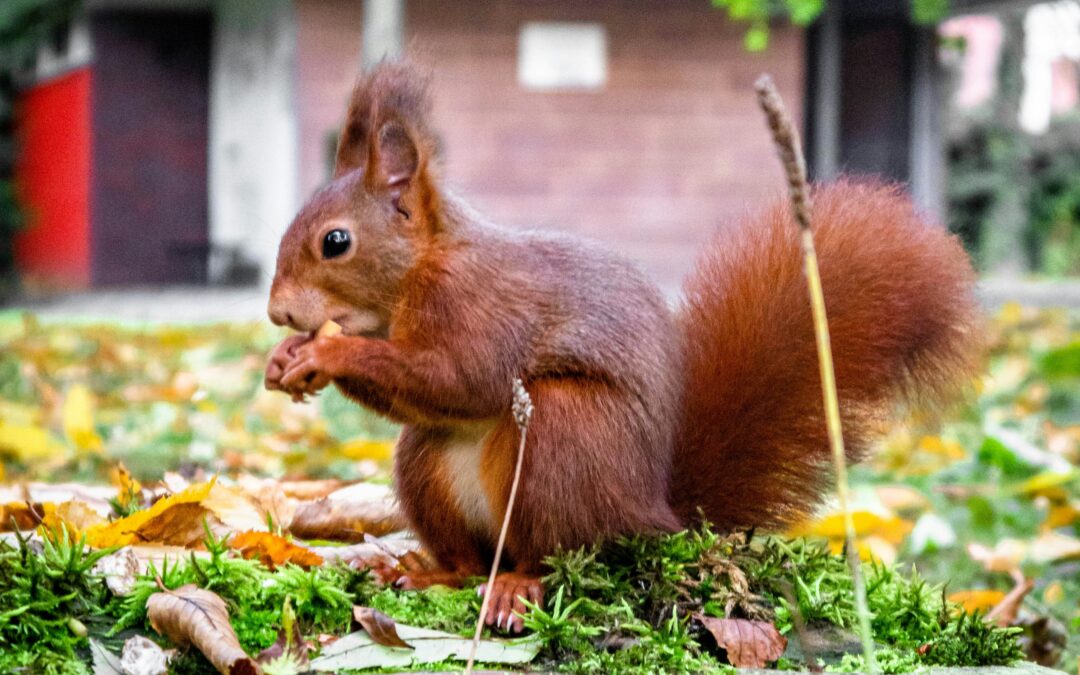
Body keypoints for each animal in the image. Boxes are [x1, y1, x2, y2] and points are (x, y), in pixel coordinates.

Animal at [264, 63, 982, 633]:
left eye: (335, 241)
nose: (277, 312)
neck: (418, 271)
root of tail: (652, 510)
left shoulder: (479, 305)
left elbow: (461, 379)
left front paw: (324, 355)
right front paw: (285, 360)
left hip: (563, 434)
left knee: (551, 553)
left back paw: (517, 586)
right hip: (426, 463)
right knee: (468, 556)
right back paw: (431, 571)